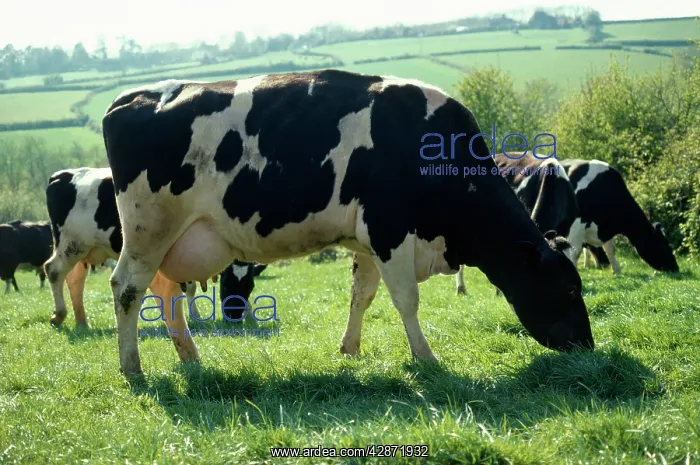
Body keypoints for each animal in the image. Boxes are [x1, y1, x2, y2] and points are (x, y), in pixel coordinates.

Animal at [44, 167, 266, 328]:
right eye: (226, 285)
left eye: (249, 286)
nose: (234, 316)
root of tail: (62, 175)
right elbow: (190, 287)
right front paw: (194, 315)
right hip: (71, 244)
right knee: (53, 270)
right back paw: (59, 315)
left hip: (83, 250)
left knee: (75, 280)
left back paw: (82, 321)